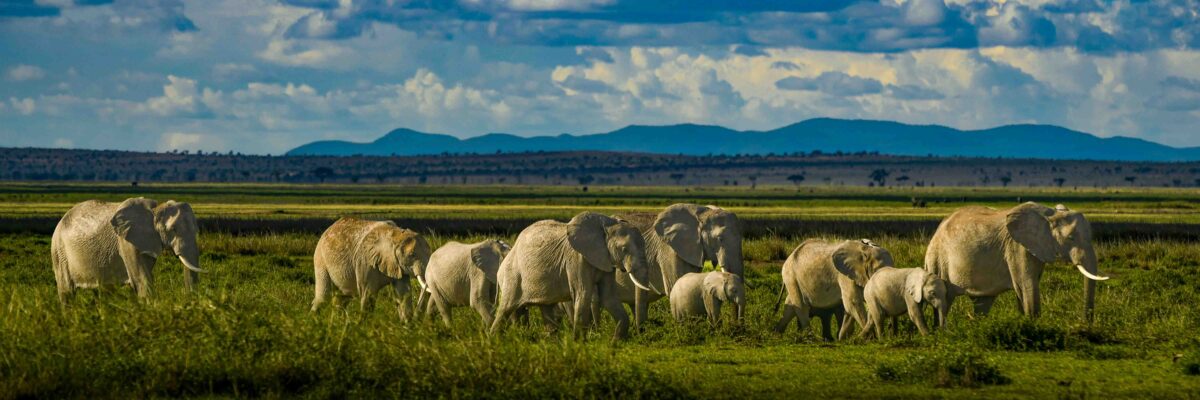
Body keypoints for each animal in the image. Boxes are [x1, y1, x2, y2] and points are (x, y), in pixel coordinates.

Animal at [51, 198, 205, 303]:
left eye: (197, 230)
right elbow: (141, 279)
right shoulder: (126, 241)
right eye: (172, 230)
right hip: (59, 251)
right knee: (66, 291)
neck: (155, 210)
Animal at [490, 212, 653, 340]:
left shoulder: (606, 260)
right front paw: (579, 344)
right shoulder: (577, 258)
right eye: (624, 249)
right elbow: (583, 293)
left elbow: (609, 297)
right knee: (506, 308)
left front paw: (615, 343)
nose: (640, 332)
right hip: (512, 275)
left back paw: (550, 341)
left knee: (545, 308)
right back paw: (494, 341)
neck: (606, 224)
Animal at [924, 202, 1109, 323]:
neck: (1049, 215)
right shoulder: (1017, 247)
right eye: (1070, 238)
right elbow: (1027, 284)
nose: (1084, 324)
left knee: (982, 302)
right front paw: (1033, 325)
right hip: (937, 258)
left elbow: (1025, 287)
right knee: (944, 299)